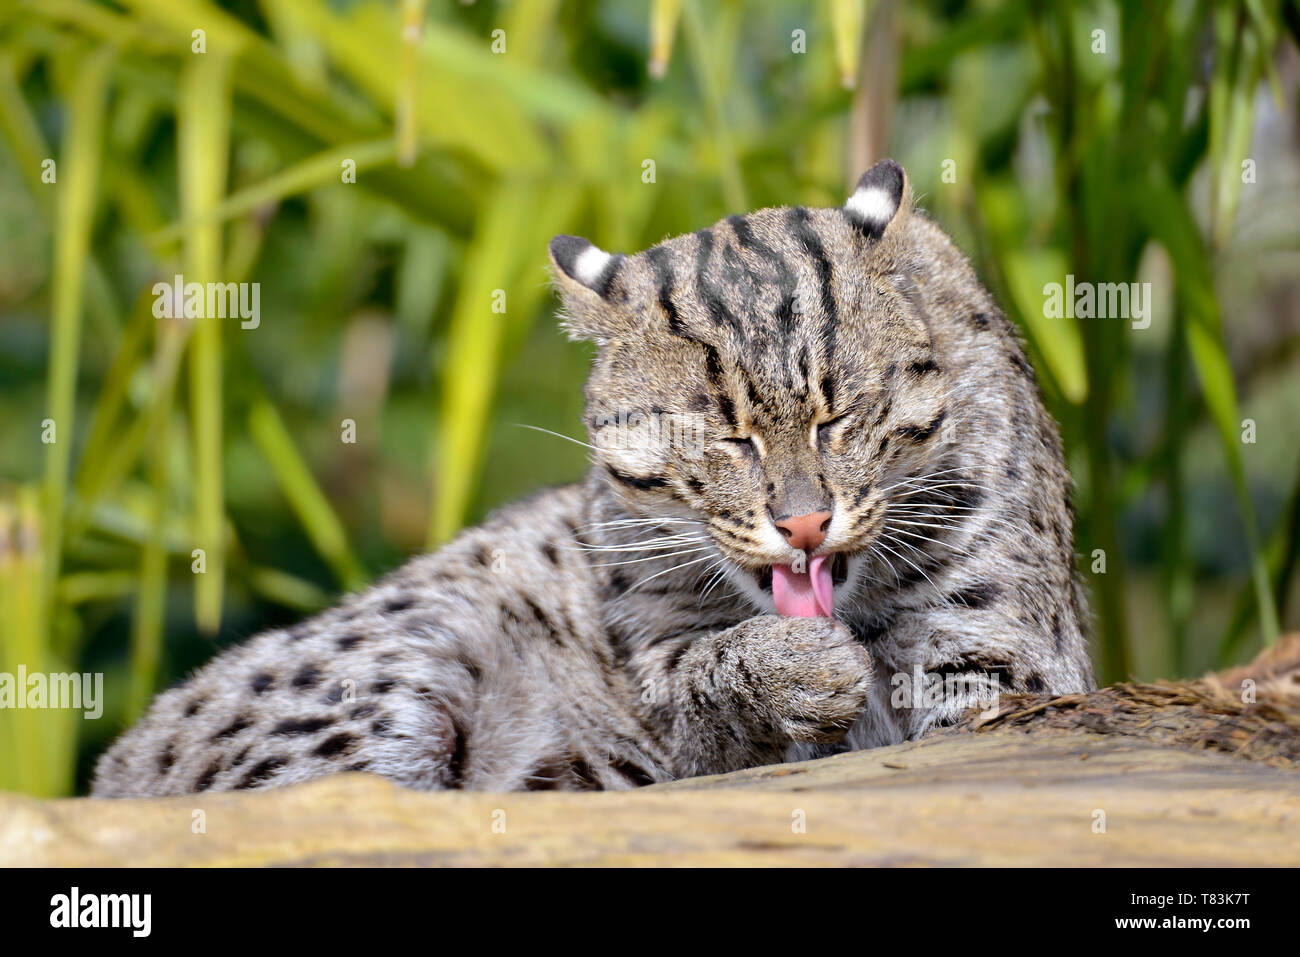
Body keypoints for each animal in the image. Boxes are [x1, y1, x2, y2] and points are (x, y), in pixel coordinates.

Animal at [91, 160, 1092, 795]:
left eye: (839, 415)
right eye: (718, 436)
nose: (805, 525)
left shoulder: (1005, 659)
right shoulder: (653, 666)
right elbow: (693, 685)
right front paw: (786, 667)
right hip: (402, 660)